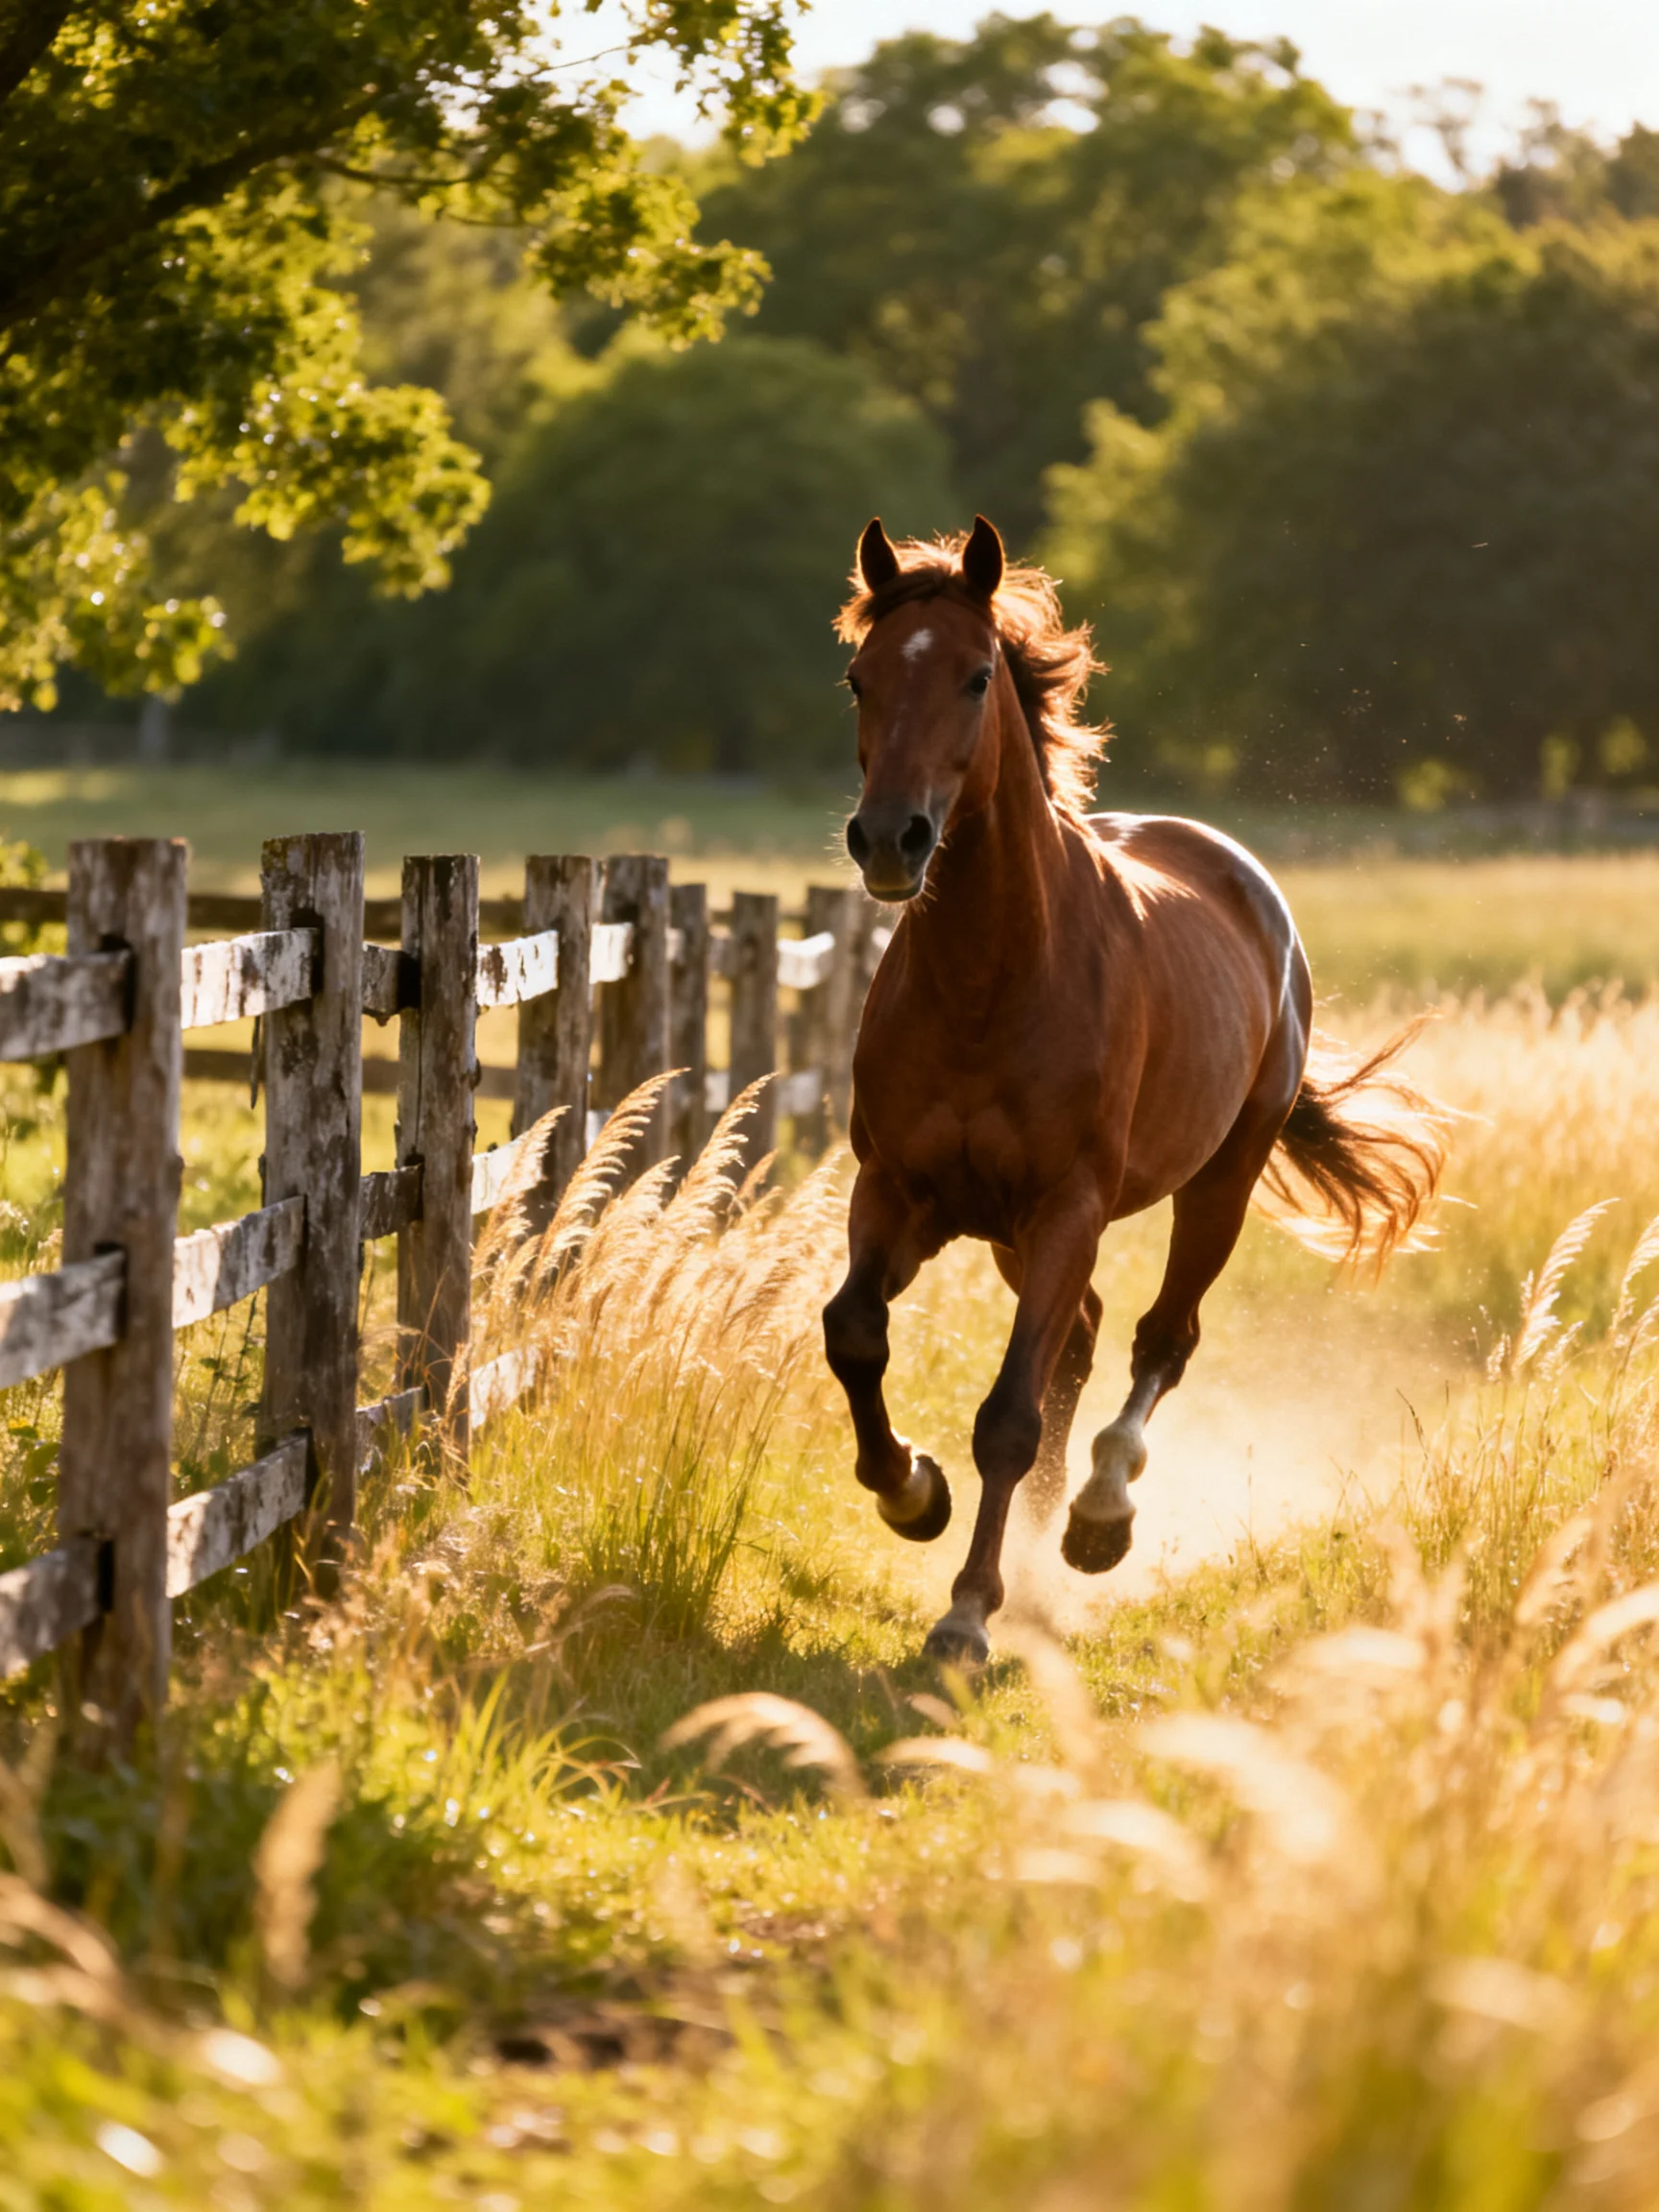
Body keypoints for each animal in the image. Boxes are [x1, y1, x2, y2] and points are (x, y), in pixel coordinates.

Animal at [822, 515, 1445, 1664]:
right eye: (859, 678)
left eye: (978, 676)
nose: (890, 839)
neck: (992, 980)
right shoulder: (900, 1192)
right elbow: (855, 1334)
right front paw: (913, 1493)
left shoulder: (1068, 1204)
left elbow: (1008, 1415)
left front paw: (968, 1612)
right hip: (1016, 1235)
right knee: (1082, 1338)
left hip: (1219, 1182)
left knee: (1161, 1338)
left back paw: (1099, 1517)